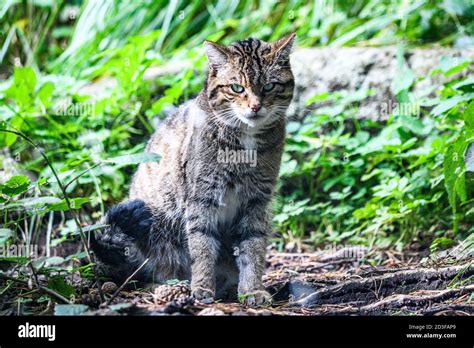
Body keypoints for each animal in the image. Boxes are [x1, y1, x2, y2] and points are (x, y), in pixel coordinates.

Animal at [90, 32, 294, 304]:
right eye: (237, 88)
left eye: (269, 86)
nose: (255, 107)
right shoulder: (201, 197)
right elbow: (202, 247)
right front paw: (203, 287)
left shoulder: (258, 200)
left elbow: (254, 248)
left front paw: (252, 289)